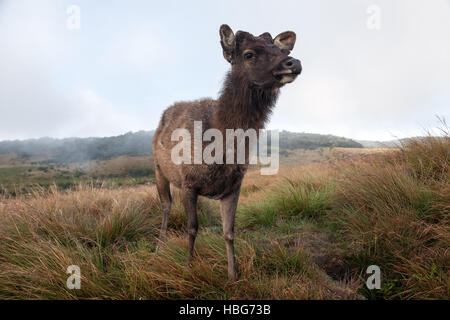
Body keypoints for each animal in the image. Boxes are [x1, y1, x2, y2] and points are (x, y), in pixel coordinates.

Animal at [152, 24, 302, 280]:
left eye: (280, 50)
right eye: (249, 54)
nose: (294, 62)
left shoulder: (233, 186)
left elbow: (229, 231)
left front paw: (233, 274)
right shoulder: (189, 182)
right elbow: (192, 228)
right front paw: (189, 266)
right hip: (158, 169)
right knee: (166, 205)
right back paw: (160, 245)